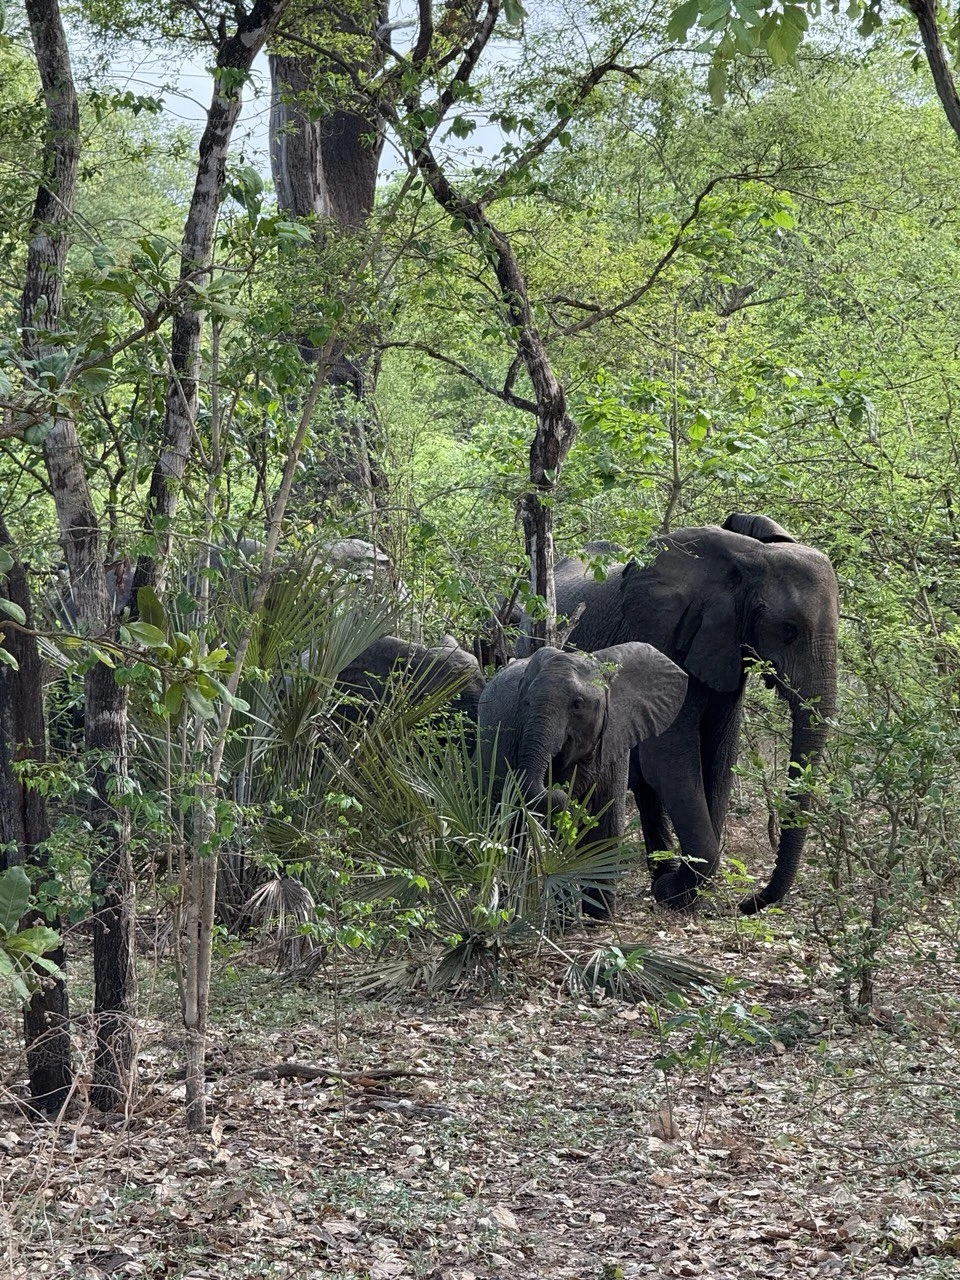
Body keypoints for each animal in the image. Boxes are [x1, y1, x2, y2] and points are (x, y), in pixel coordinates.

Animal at [478, 645, 686, 916]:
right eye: (526, 703)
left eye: (577, 705)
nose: (562, 793)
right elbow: (556, 829)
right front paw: (566, 918)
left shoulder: (614, 738)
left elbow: (606, 819)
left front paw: (601, 917)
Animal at [552, 509, 839, 911]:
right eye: (788, 630)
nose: (748, 902)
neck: (749, 559)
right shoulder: (663, 637)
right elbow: (670, 757)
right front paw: (675, 892)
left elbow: (719, 754)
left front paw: (684, 893)